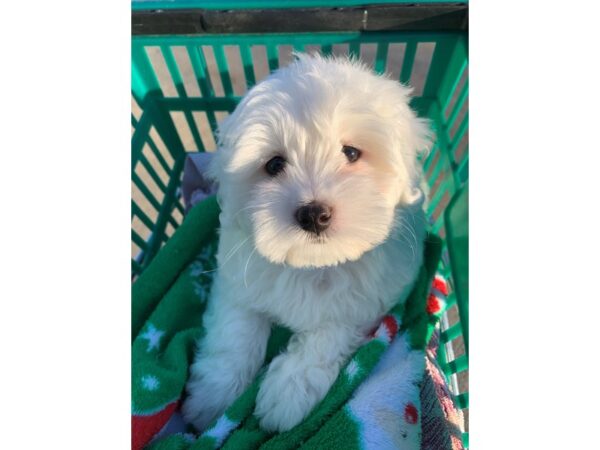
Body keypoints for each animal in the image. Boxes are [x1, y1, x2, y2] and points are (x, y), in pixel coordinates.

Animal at [183, 52, 432, 432]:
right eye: (274, 164)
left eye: (351, 153)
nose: (314, 214)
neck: (312, 264)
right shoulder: (237, 281)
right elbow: (234, 330)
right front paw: (212, 395)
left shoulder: (366, 303)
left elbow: (329, 333)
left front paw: (287, 391)